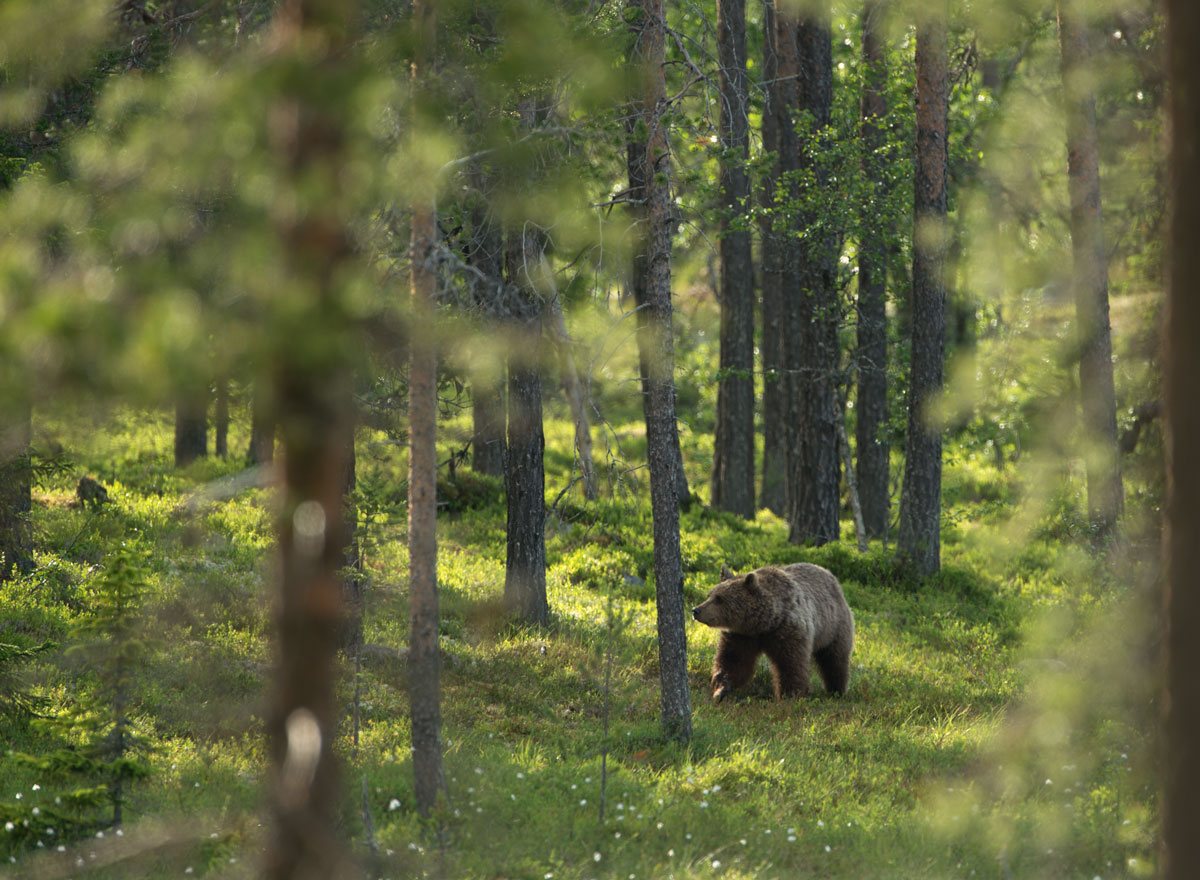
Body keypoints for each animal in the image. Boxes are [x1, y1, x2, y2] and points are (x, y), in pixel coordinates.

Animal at [696, 561, 854, 701]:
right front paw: (720, 689)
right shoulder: (741, 635)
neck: (763, 624)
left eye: (719, 599)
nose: (696, 610)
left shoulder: (788, 631)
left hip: (834, 626)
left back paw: (837, 690)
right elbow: (733, 660)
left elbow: (790, 664)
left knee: (834, 659)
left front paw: (790, 695)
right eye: (709, 595)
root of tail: (827, 573)